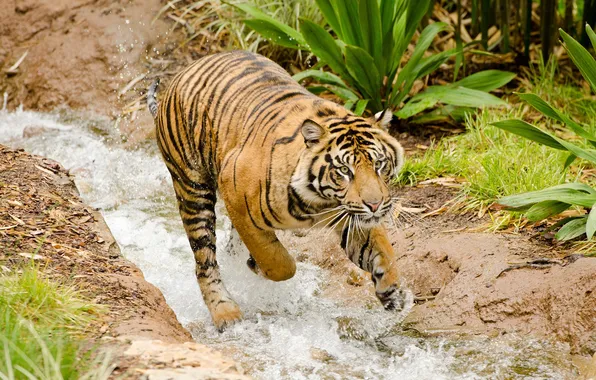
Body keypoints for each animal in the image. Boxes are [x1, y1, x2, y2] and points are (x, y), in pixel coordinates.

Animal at [148, 49, 408, 330]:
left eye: (379, 164)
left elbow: (383, 252)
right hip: (193, 190)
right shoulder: (236, 194)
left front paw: (393, 292)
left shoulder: (351, 216)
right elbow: (277, 260)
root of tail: (181, 74)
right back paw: (225, 312)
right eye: (344, 170)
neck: (321, 200)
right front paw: (259, 266)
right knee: (204, 260)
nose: (375, 204)